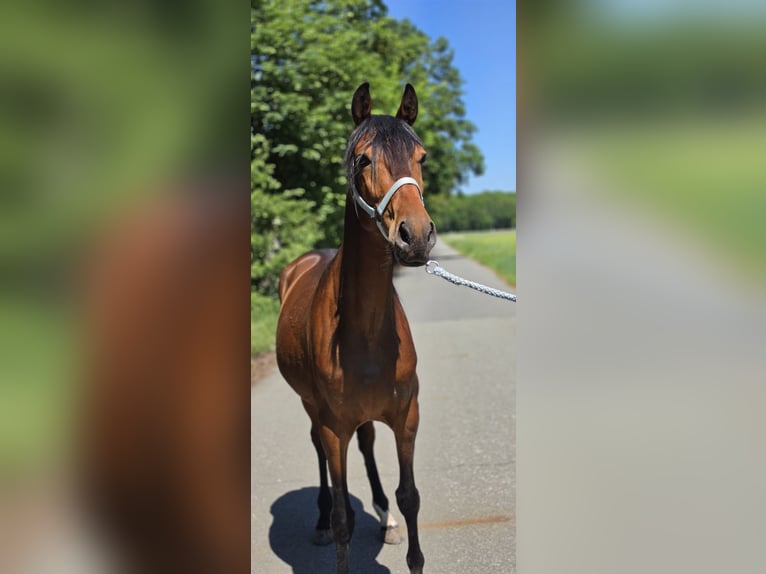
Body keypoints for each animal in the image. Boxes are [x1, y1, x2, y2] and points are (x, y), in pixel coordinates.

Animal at [275, 82, 436, 574]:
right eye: (363, 159)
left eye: (422, 158)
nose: (415, 236)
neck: (364, 332)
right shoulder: (333, 426)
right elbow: (345, 519)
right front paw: (334, 520)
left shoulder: (407, 415)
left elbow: (410, 496)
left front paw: (397, 518)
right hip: (312, 408)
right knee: (322, 455)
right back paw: (321, 519)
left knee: (365, 444)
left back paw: (382, 514)